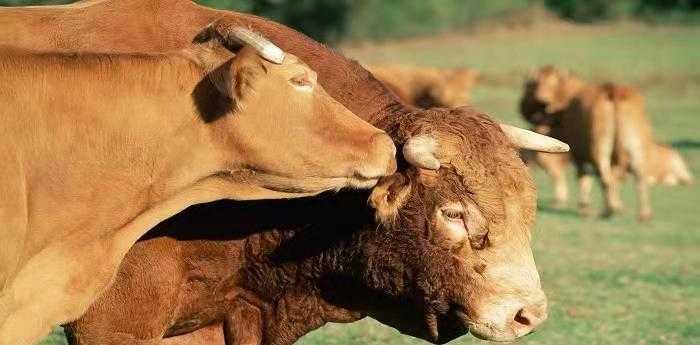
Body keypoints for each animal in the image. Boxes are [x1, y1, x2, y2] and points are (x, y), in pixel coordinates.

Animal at [520, 65, 656, 220]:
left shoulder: (578, 154)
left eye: (529, 85)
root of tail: (613, 90)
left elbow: (584, 178)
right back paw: (643, 214)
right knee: (639, 177)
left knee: (605, 178)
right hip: (636, 146)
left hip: (599, 148)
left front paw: (585, 207)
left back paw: (609, 210)